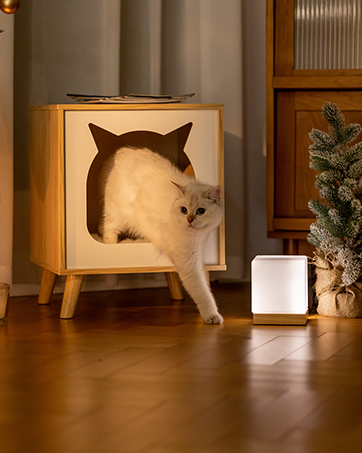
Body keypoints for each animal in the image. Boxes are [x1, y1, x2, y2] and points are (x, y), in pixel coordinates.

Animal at [99, 147, 223, 324]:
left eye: (201, 211)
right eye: (183, 210)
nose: (189, 219)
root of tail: (119, 152)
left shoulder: (197, 255)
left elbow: (206, 287)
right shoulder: (188, 262)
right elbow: (203, 292)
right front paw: (212, 316)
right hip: (117, 215)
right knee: (107, 230)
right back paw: (112, 245)